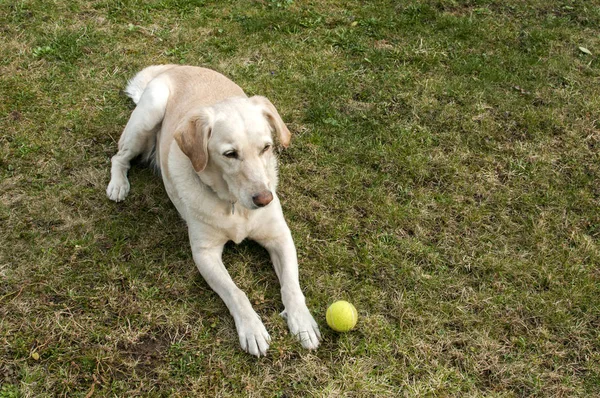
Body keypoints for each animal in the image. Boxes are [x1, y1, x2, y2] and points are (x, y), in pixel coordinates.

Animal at [109, 63, 324, 356]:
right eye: (230, 154)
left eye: (266, 147)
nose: (264, 199)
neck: (234, 207)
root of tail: (176, 66)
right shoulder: (205, 253)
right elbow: (236, 292)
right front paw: (252, 329)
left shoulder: (280, 237)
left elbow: (291, 284)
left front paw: (302, 322)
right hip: (148, 115)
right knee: (118, 157)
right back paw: (117, 184)